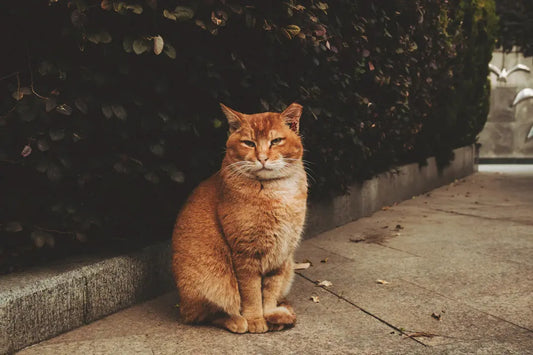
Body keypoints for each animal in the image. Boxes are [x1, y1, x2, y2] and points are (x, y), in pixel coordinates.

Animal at [172, 102, 306, 334]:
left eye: (276, 141)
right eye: (249, 143)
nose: (262, 158)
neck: (276, 190)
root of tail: (182, 304)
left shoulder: (281, 255)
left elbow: (270, 290)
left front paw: (269, 313)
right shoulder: (245, 253)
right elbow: (251, 293)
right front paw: (255, 320)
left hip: (289, 267)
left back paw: (281, 316)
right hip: (207, 282)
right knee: (205, 314)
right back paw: (237, 321)